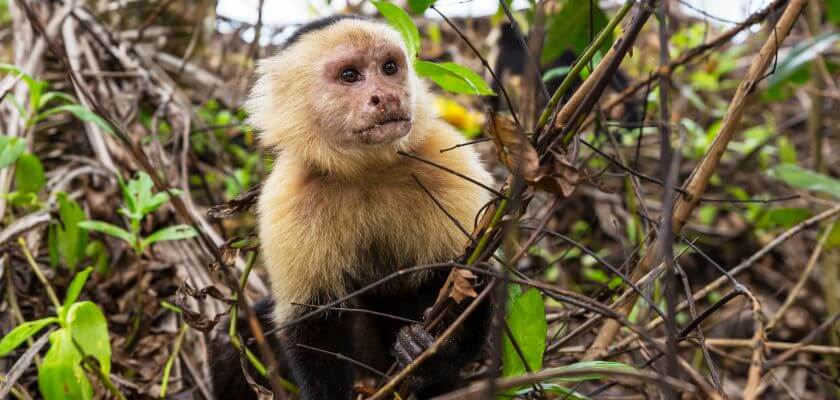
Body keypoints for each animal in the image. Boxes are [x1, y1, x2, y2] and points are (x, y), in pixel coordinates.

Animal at [210, 14, 496, 400]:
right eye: (350, 75)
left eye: (389, 68)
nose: (387, 95)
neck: (366, 170)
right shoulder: (287, 197)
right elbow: (312, 322)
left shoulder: (446, 160)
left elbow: (469, 275)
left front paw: (432, 354)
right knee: (234, 340)